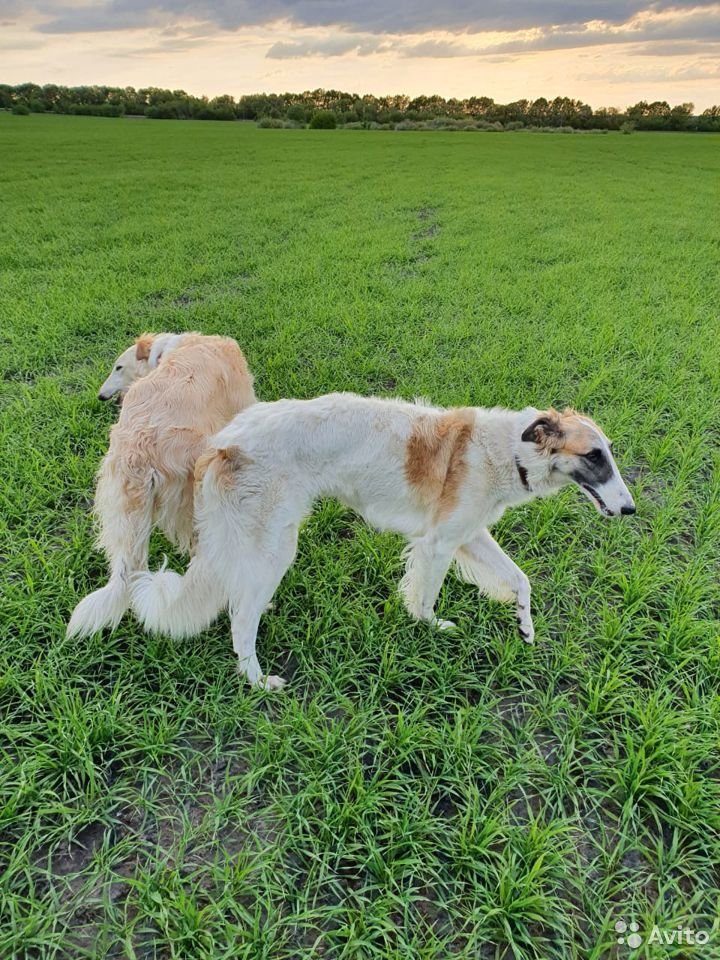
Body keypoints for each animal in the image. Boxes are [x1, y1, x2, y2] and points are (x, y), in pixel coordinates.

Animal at [131, 392, 636, 688]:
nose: (631, 509)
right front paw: (430, 627)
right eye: (594, 456)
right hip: (276, 545)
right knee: (240, 619)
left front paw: (525, 626)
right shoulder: (439, 543)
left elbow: (521, 580)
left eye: (608, 454)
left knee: (240, 598)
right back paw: (257, 679)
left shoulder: (470, 533)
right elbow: (426, 598)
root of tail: (221, 443)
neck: (511, 450)